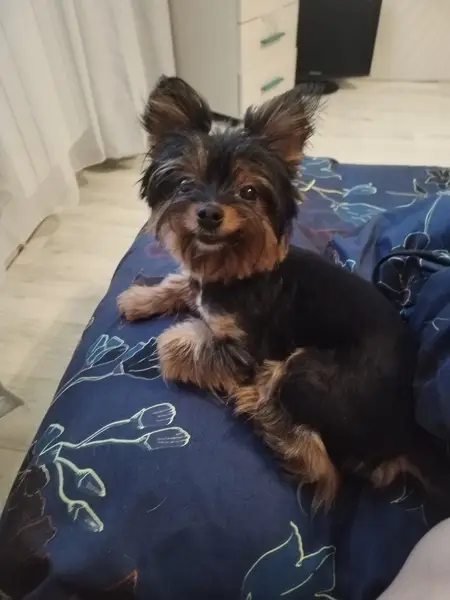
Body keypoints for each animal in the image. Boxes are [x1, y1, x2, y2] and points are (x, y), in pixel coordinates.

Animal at [118, 76, 446, 510]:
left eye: (249, 192)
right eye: (185, 184)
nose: (209, 213)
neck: (234, 269)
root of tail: (405, 441)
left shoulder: (247, 347)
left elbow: (174, 343)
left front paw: (175, 340)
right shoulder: (203, 284)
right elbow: (183, 283)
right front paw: (140, 299)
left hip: (307, 369)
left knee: (323, 468)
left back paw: (261, 407)